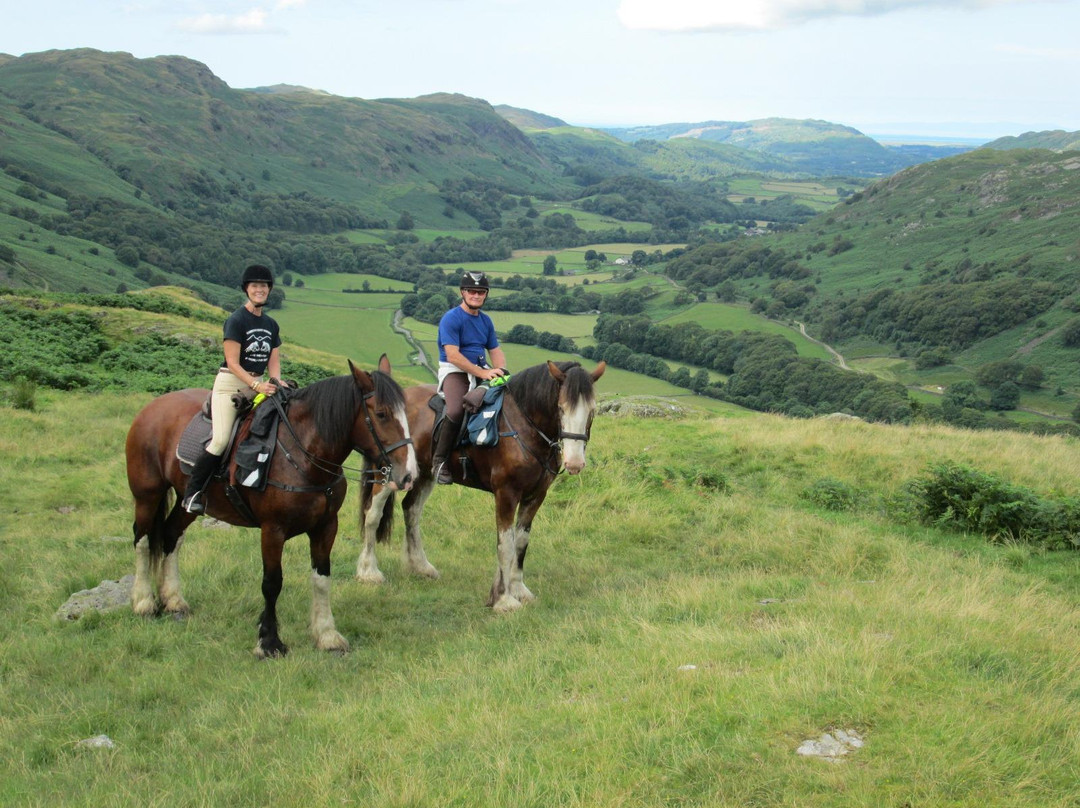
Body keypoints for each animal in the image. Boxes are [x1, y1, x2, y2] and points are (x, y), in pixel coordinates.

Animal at [123, 356, 416, 661]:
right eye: (381, 414)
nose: (408, 475)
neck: (301, 455)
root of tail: (153, 407)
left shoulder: (326, 526)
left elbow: (321, 578)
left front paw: (326, 635)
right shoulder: (272, 530)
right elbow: (272, 583)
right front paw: (269, 641)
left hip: (187, 502)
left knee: (170, 535)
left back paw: (173, 599)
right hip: (147, 495)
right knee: (142, 540)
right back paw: (144, 602)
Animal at [356, 360, 604, 613]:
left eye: (592, 411)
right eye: (561, 408)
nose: (575, 463)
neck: (524, 427)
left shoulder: (535, 496)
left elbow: (520, 543)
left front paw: (518, 589)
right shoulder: (506, 494)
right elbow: (505, 544)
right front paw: (503, 599)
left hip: (423, 474)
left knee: (411, 510)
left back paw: (421, 566)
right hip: (389, 474)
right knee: (373, 514)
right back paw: (368, 571)